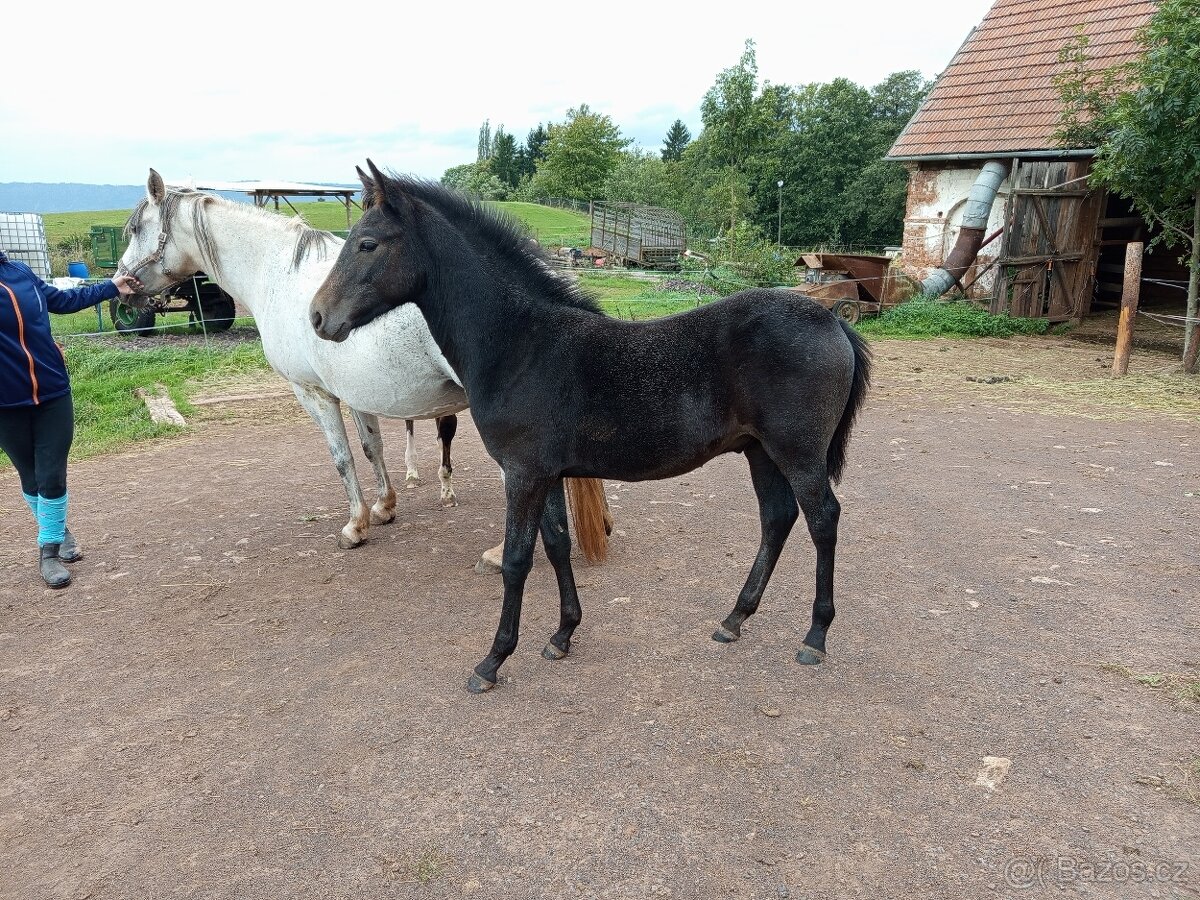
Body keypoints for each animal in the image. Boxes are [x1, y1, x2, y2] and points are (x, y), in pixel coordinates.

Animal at [118, 169, 611, 567]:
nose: (121, 282)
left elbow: (342, 458)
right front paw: (384, 507)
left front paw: (355, 526)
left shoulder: (313, 393)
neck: (275, 274)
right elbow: (373, 448)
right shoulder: (356, 393)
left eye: (137, 227)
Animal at [310, 162, 872, 693]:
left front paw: (492, 661)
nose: (317, 317)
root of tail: (832, 321)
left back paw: (814, 637)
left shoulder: (523, 473)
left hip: (797, 452)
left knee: (822, 519)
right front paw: (562, 635)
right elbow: (557, 544)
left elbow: (517, 559)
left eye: (367, 243)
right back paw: (733, 620)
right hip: (760, 451)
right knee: (777, 519)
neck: (521, 345)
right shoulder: (546, 472)